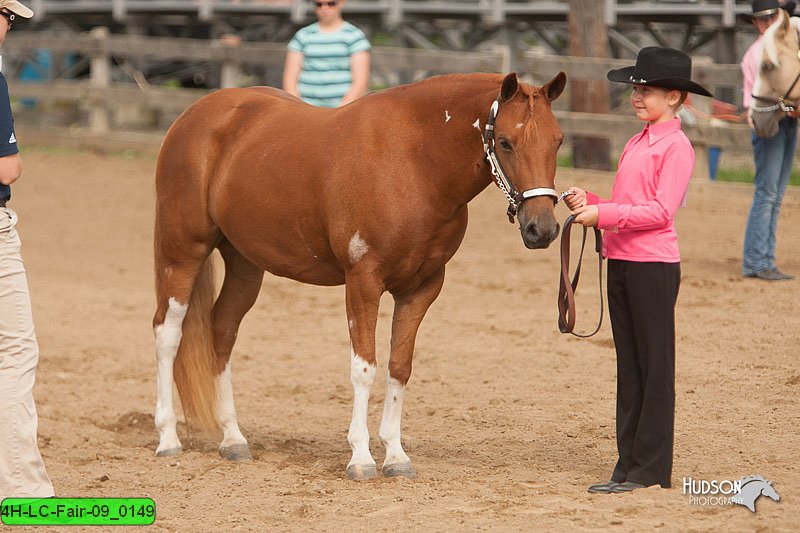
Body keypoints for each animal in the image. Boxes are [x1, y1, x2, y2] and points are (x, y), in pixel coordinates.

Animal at [153, 69, 564, 478]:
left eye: (558, 141)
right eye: (506, 142)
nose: (541, 229)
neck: (414, 163)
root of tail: (194, 115)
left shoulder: (422, 289)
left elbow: (399, 367)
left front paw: (396, 456)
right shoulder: (363, 283)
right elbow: (364, 368)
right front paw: (361, 458)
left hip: (244, 262)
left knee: (221, 329)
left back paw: (233, 438)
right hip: (183, 253)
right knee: (167, 333)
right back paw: (168, 437)